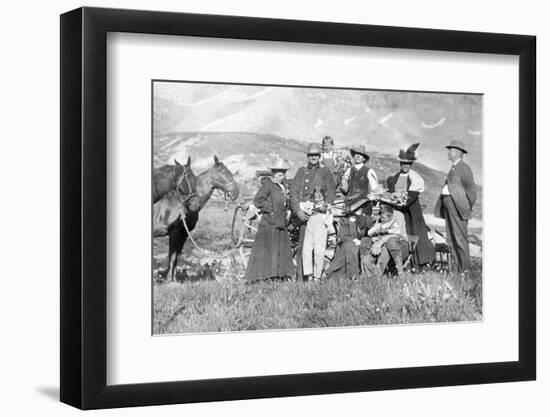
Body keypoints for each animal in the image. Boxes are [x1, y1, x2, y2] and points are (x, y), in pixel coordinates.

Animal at [153, 154, 239, 282]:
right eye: (223, 171)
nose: (236, 193)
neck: (184, 204)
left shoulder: (183, 234)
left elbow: (177, 257)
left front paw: (174, 280)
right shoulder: (175, 233)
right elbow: (172, 257)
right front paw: (169, 280)